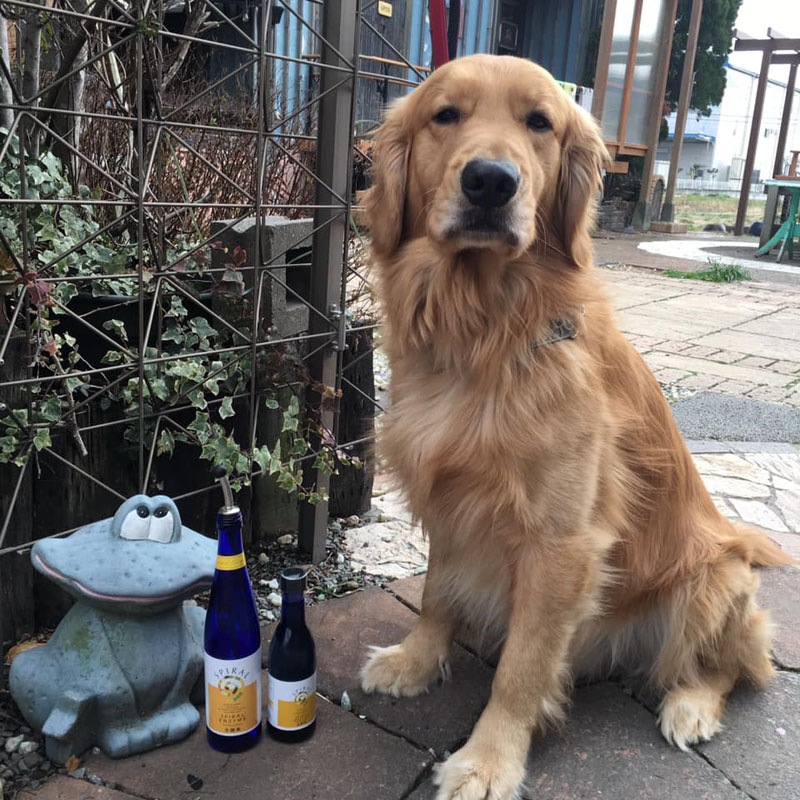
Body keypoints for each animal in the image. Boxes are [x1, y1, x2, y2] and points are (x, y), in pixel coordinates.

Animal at [358, 54, 792, 800]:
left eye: (540, 123)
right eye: (445, 115)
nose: (490, 181)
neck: (484, 332)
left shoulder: (562, 542)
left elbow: (522, 668)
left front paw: (488, 760)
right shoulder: (451, 500)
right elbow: (438, 595)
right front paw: (415, 662)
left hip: (714, 582)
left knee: (734, 668)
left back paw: (690, 706)